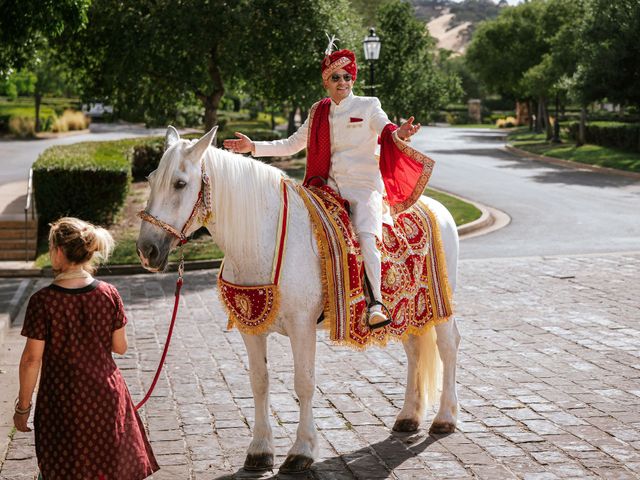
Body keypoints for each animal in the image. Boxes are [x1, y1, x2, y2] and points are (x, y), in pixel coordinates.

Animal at [136, 126, 460, 472]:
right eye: (151, 178)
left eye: (180, 183)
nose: (146, 250)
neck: (260, 238)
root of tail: (437, 208)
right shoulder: (251, 329)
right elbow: (259, 381)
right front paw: (260, 449)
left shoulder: (302, 327)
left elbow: (303, 382)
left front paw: (302, 450)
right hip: (407, 311)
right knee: (414, 350)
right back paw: (408, 416)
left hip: (441, 306)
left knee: (448, 347)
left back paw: (445, 418)